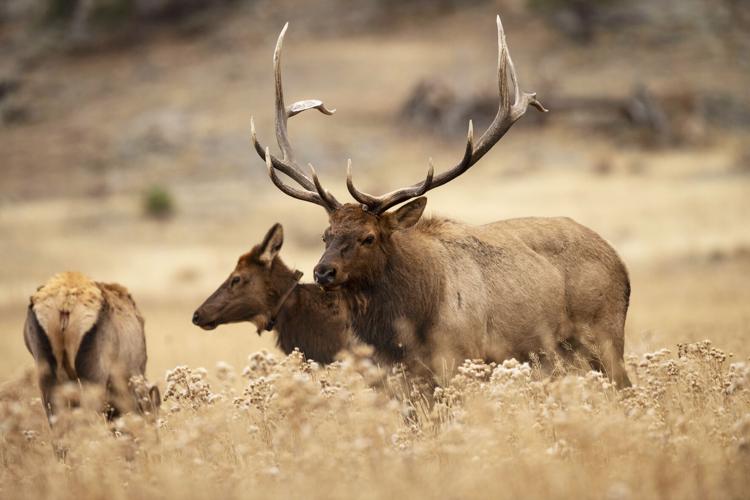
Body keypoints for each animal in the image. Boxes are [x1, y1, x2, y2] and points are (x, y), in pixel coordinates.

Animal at [249, 16, 632, 388]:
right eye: (325, 235)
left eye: (368, 237)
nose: (323, 271)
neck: (405, 327)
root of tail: (620, 264)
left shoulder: (463, 358)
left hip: (605, 334)